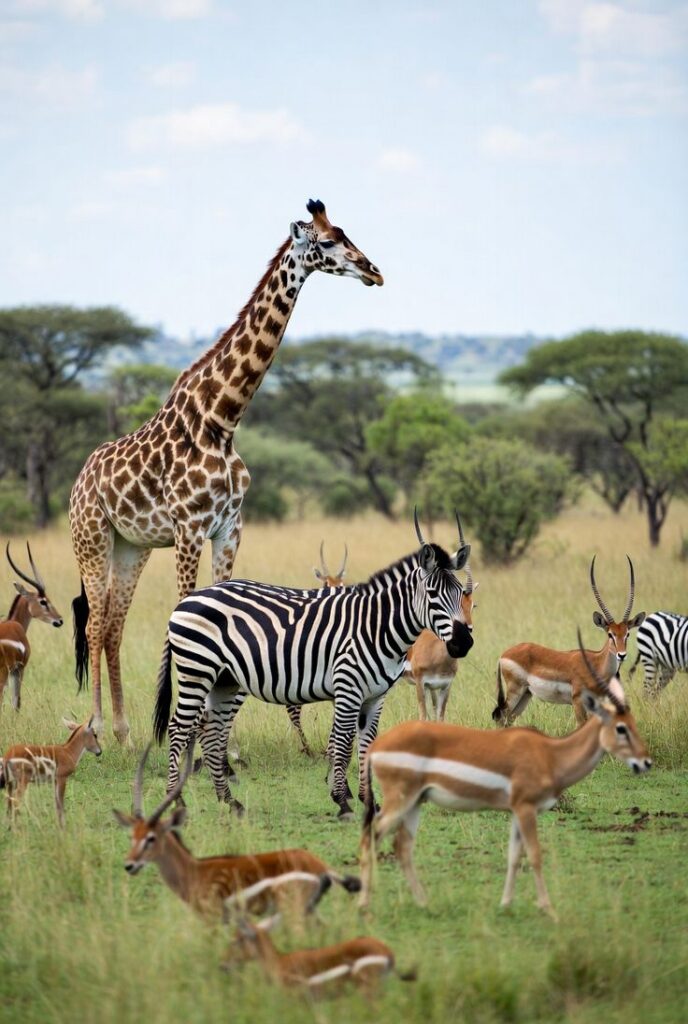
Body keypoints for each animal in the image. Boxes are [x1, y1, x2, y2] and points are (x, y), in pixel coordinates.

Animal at [69, 199, 383, 743]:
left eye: (348, 234)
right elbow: (188, 611)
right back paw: (97, 730)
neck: (222, 419)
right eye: (326, 242)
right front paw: (191, 734)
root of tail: (77, 482)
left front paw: (225, 743)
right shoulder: (189, 527)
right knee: (93, 623)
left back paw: (126, 732)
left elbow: (223, 615)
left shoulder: (229, 527)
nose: (373, 270)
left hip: (131, 547)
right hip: (91, 539)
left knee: (112, 624)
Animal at [153, 512, 474, 819]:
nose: (463, 642)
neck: (376, 627)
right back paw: (176, 799)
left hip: (224, 681)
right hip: (197, 671)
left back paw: (229, 802)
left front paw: (369, 802)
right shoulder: (348, 688)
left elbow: (366, 745)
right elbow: (343, 743)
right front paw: (342, 800)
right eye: (432, 595)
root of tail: (187, 599)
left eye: (461, 592)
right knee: (179, 727)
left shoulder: (375, 696)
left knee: (211, 730)